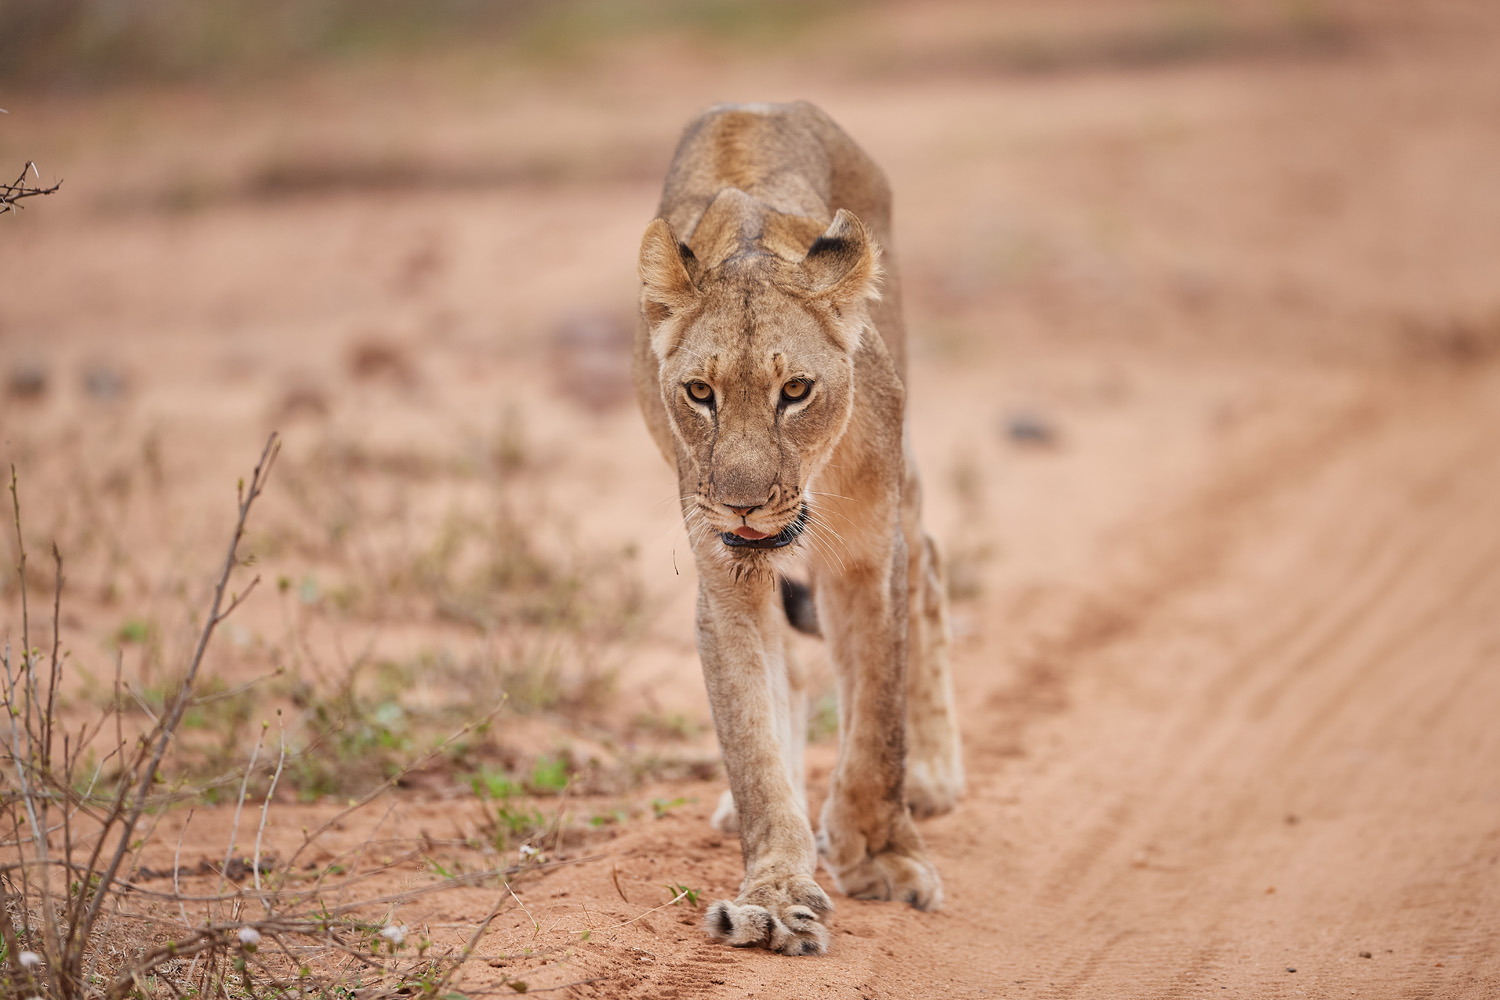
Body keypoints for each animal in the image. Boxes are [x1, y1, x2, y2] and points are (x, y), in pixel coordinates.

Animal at [630, 99, 960, 953]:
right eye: (700, 393)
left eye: (797, 391)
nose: (743, 504)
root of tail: (760, 102)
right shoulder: (725, 576)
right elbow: (751, 733)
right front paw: (777, 887)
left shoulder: (869, 557)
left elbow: (877, 722)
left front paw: (882, 856)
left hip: (907, 474)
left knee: (932, 563)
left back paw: (937, 774)